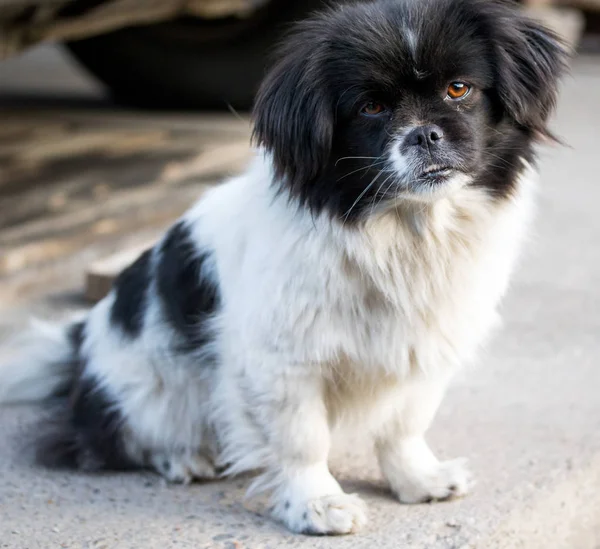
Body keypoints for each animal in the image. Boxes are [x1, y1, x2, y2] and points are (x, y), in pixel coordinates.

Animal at [0, 0, 564, 536]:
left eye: (458, 89)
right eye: (372, 107)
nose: (425, 134)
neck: (404, 231)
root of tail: (81, 343)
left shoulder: (424, 347)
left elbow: (404, 424)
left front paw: (418, 479)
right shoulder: (282, 361)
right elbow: (302, 441)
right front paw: (316, 505)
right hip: (145, 390)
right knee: (116, 439)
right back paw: (182, 457)